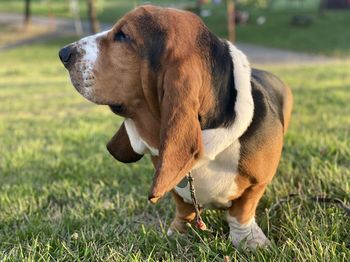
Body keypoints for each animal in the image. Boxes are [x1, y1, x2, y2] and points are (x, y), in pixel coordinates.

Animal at [58, 5, 292, 248]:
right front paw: (179, 231)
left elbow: (242, 210)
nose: (63, 53)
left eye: (123, 35)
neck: (209, 132)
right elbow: (183, 206)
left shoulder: (258, 182)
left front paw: (247, 240)